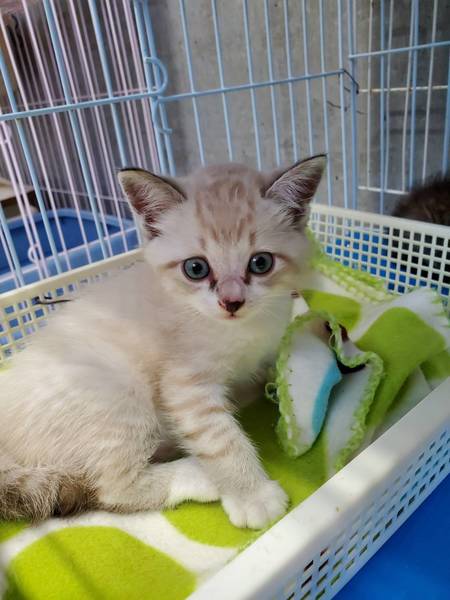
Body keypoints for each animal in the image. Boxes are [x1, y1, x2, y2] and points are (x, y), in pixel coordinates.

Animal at [0, 155, 325, 529]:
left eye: (261, 262)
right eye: (196, 269)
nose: (231, 302)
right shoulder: (185, 386)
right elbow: (220, 438)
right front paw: (252, 495)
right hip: (118, 400)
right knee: (113, 489)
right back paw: (197, 474)